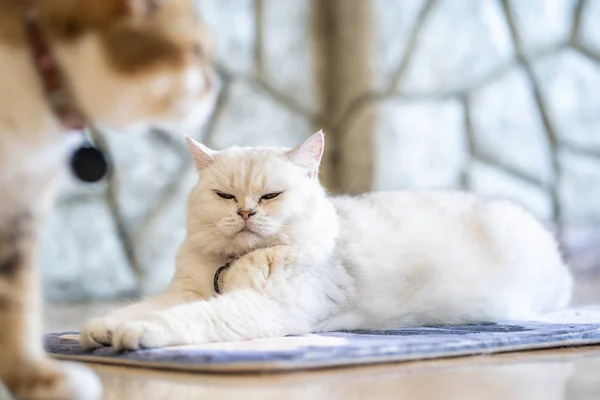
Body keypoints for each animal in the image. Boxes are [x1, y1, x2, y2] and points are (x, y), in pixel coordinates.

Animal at [79, 130, 572, 350]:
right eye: (224, 196)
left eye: (270, 196)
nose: (245, 213)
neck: (232, 263)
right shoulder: (183, 291)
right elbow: (143, 307)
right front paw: (100, 328)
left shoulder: (265, 307)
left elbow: (183, 318)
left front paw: (133, 334)